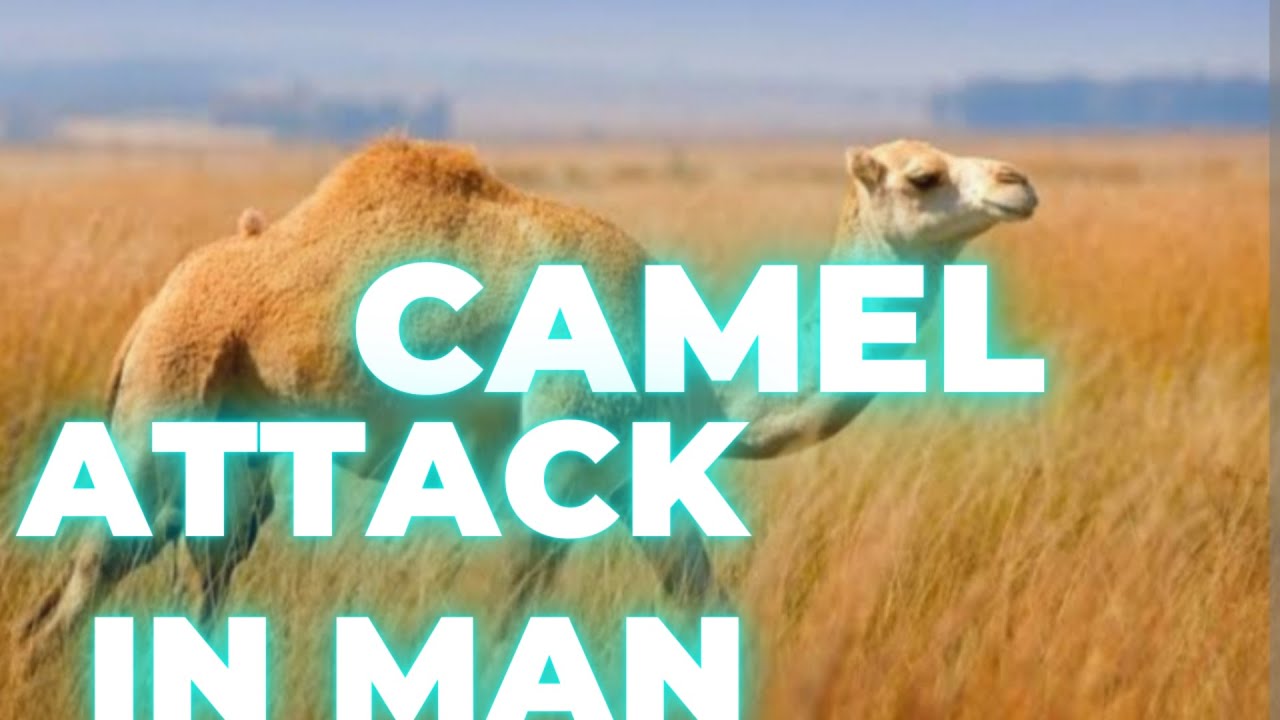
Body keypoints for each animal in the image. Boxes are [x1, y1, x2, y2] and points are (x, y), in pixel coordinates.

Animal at [16, 137, 1037, 671]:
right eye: (922, 177)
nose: (1019, 181)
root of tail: (145, 316)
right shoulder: (561, 457)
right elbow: (511, 617)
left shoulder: (642, 481)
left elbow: (700, 603)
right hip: (170, 399)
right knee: (88, 580)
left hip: (236, 453)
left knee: (198, 574)